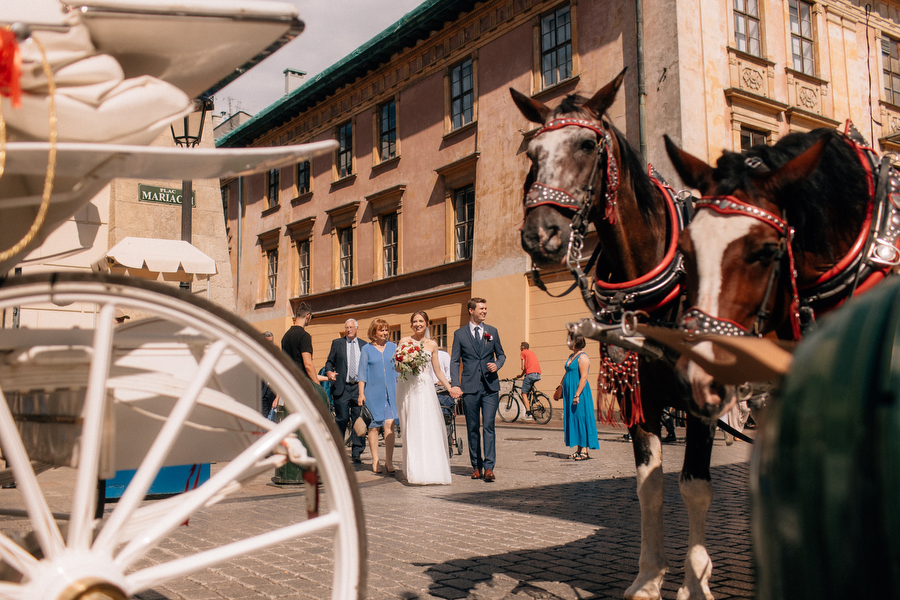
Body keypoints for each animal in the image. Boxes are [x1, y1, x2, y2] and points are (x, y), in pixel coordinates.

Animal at [512, 72, 724, 600]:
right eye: (534, 152)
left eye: (588, 144)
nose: (539, 235)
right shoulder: (640, 397)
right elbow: (650, 486)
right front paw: (649, 579)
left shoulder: (700, 401)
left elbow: (696, 487)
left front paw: (695, 582)